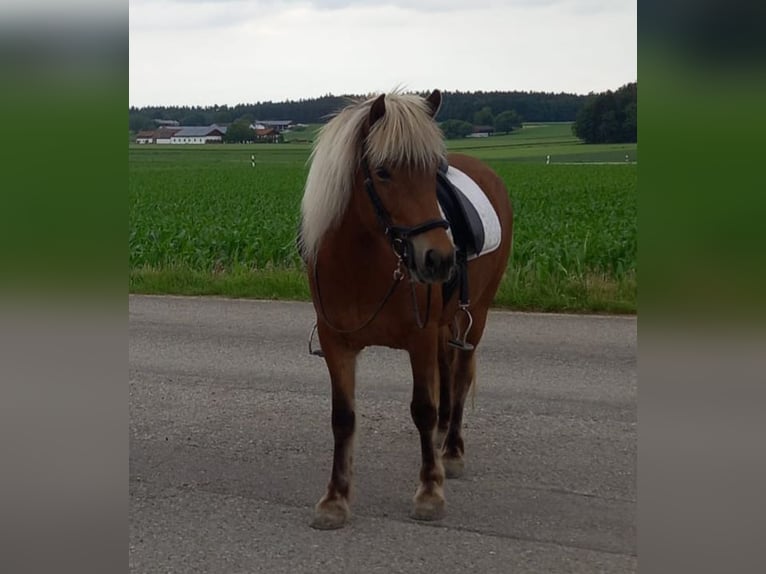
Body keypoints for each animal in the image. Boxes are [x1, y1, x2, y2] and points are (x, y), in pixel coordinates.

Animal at [300, 90, 516, 532]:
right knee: (448, 375)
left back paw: (451, 452)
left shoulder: (419, 338)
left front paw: (430, 491)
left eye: (433, 173)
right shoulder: (336, 344)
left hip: (476, 314)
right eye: (383, 172)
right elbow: (343, 417)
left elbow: (422, 408)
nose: (439, 258)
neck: (362, 262)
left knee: (460, 377)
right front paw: (335, 499)